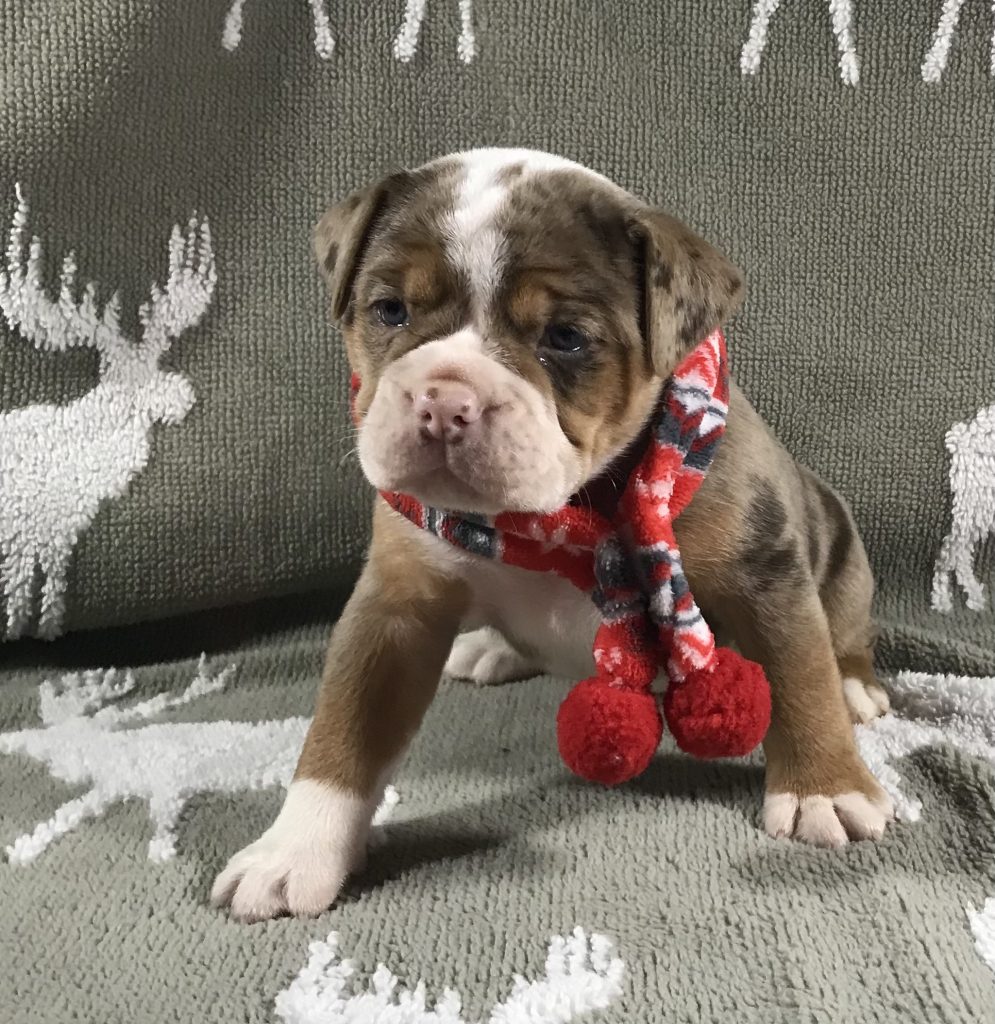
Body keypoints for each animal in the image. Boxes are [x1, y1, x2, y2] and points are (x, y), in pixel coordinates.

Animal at [0, 186, 216, 640]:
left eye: (156, 362)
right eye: (122, 377)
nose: (183, 396)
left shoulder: (52, 537)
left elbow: (42, 590)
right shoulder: (30, 532)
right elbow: (28, 593)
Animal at [0, 655, 398, 865]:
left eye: (45, 737)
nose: (7, 739)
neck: (109, 749)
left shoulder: (161, 781)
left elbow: (158, 817)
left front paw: (161, 850)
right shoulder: (119, 784)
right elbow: (72, 811)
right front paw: (25, 847)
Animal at [212, 148, 894, 923]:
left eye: (564, 337)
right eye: (390, 310)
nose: (444, 400)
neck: (558, 512)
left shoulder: (763, 573)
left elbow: (797, 673)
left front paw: (825, 789)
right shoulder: (394, 610)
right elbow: (344, 727)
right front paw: (293, 850)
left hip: (843, 558)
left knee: (839, 636)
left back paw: (856, 687)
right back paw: (492, 648)